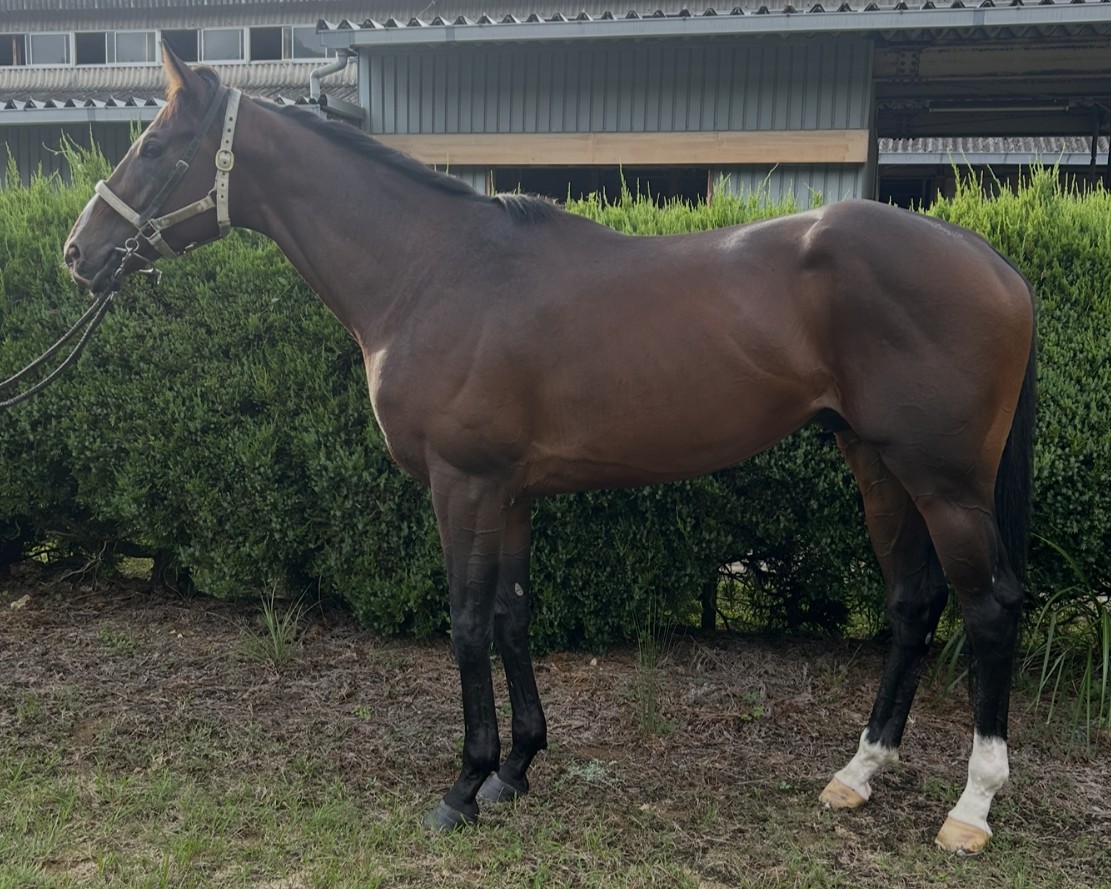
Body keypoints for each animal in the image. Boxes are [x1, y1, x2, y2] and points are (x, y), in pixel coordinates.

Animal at [64, 48, 1036, 854]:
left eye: (155, 144)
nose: (80, 253)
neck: (433, 270)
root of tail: (984, 254)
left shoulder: (461, 484)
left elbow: (464, 621)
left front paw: (462, 785)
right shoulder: (511, 491)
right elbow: (510, 614)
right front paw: (516, 768)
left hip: (944, 479)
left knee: (988, 609)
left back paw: (970, 806)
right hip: (876, 462)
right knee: (912, 602)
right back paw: (857, 773)